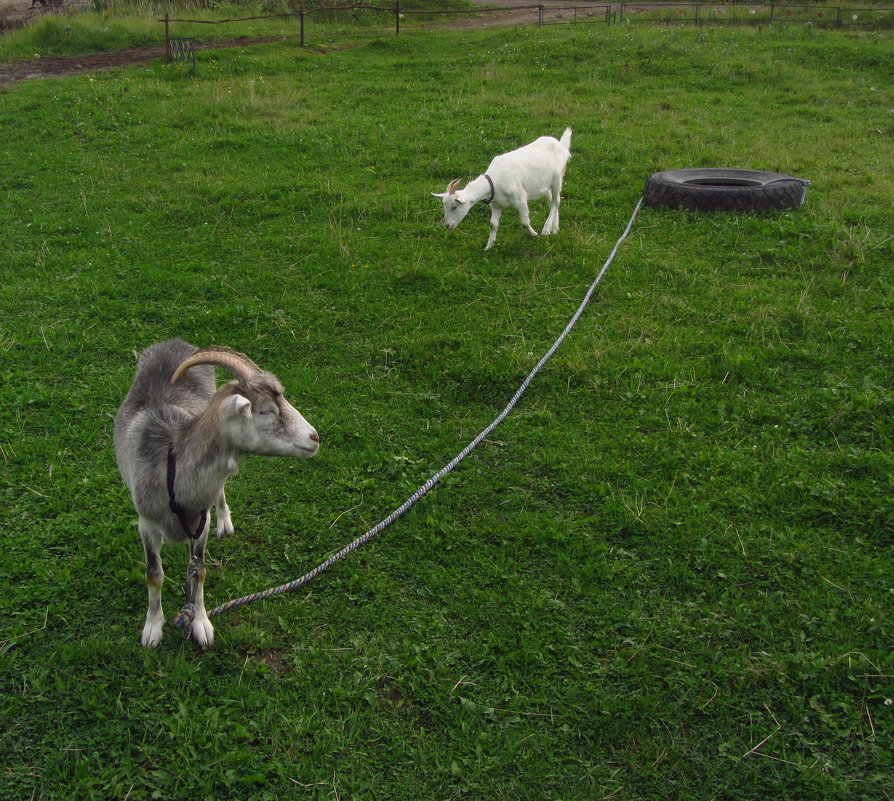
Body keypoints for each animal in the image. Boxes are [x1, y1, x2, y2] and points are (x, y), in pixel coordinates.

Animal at [114, 340, 320, 648]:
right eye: (265, 411)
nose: (314, 438)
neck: (174, 468)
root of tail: (175, 342)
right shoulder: (146, 524)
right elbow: (154, 574)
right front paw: (152, 629)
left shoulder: (202, 522)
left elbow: (199, 571)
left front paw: (200, 624)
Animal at [434, 127, 576, 250]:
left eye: (454, 207)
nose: (447, 226)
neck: (494, 182)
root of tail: (561, 145)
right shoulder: (496, 205)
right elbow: (493, 225)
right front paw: (489, 246)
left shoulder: (520, 198)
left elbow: (524, 222)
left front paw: (534, 234)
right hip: (545, 185)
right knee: (553, 201)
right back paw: (555, 228)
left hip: (557, 178)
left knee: (555, 201)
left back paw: (546, 229)